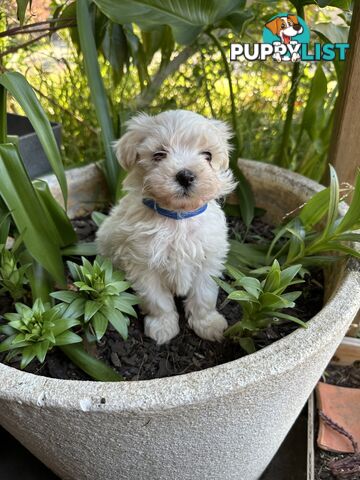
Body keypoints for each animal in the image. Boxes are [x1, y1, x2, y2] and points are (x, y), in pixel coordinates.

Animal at [95, 110, 236, 344]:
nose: (186, 175)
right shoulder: (143, 264)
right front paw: (162, 327)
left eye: (208, 155)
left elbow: (204, 295)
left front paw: (208, 324)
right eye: (159, 155)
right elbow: (157, 300)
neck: (177, 218)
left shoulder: (208, 260)